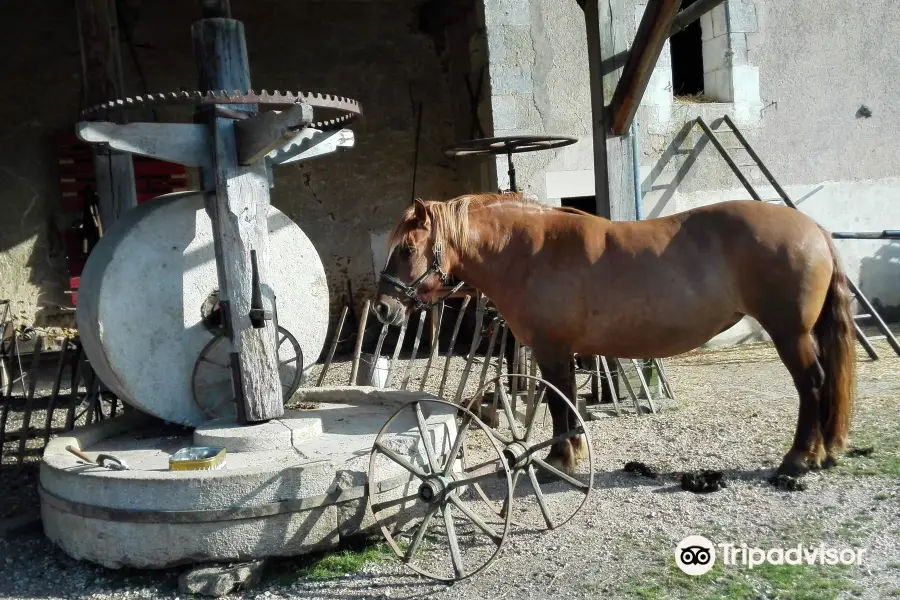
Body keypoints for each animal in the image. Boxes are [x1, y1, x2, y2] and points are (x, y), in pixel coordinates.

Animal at [372, 192, 856, 478]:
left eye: (408, 249)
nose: (382, 308)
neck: (528, 252)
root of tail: (813, 230)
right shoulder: (561, 351)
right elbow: (565, 401)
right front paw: (569, 454)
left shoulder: (552, 349)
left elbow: (560, 403)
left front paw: (559, 459)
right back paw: (822, 453)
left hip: (790, 333)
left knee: (812, 384)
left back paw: (798, 460)